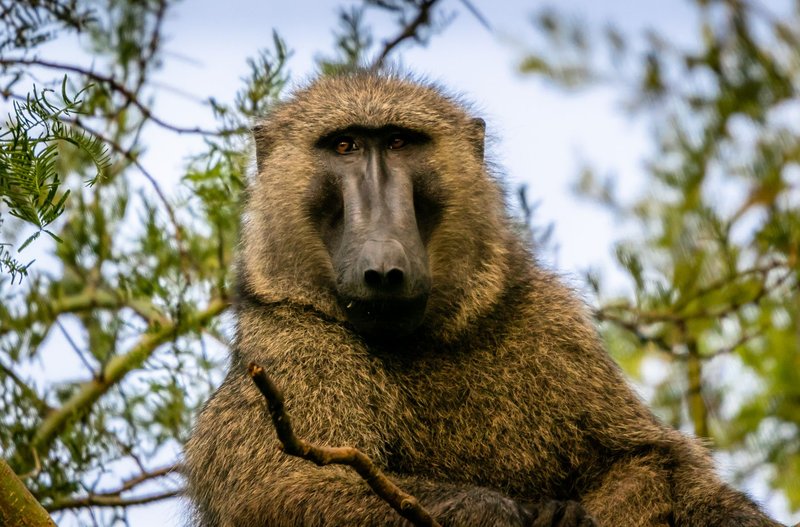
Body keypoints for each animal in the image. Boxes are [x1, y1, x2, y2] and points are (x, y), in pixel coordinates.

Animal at [182, 70, 784, 527]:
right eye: (344, 146)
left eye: (399, 142)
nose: (383, 268)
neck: (420, 342)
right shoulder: (287, 341)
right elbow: (283, 487)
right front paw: (499, 513)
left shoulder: (546, 319)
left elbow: (650, 461)